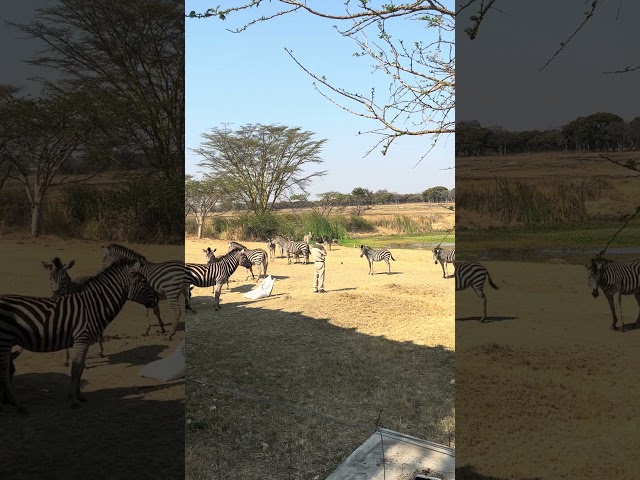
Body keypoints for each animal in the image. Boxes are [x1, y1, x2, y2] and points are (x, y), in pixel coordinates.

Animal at [0, 258, 155, 412]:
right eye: (143, 281)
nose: (157, 300)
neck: (93, 306)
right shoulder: (81, 339)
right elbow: (75, 369)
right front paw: (74, 400)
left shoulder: (85, 342)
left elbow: (81, 368)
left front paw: (79, 395)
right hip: (5, 340)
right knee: (4, 371)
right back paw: (17, 404)